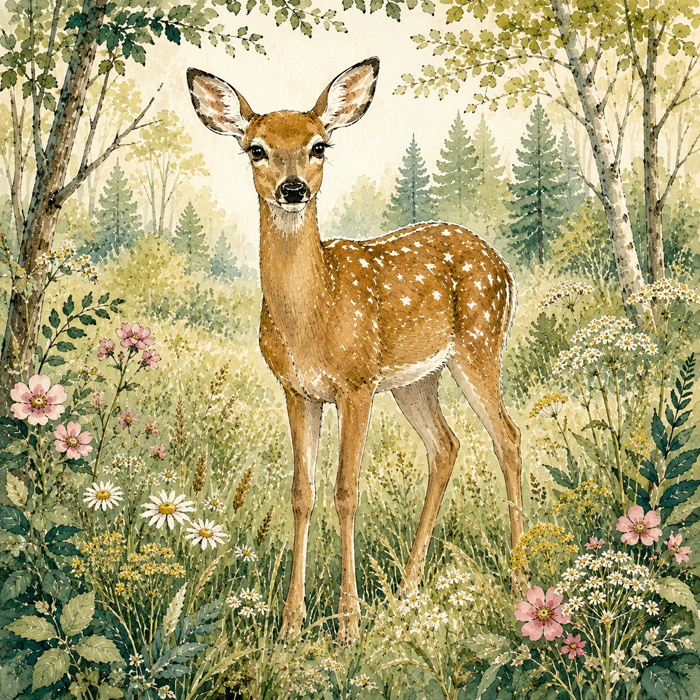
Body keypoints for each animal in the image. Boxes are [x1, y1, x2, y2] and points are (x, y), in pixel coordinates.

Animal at [187, 57, 523, 645]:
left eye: (319, 145)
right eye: (256, 148)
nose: (293, 188)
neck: (313, 316)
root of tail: (502, 265)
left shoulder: (357, 381)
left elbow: (346, 491)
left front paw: (347, 624)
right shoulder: (298, 390)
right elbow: (302, 493)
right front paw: (291, 625)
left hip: (479, 347)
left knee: (508, 438)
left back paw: (522, 577)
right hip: (417, 379)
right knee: (447, 445)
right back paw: (407, 591)